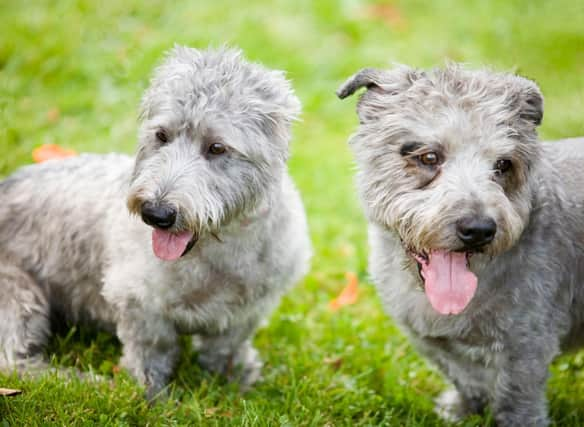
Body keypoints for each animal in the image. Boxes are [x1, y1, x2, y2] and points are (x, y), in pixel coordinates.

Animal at [0, 46, 312, 398]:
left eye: (217, 147)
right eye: (162, 135)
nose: (156, 213)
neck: (218, 251)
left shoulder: (251, 307)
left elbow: (227, 345)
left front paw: (236, 378)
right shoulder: (138, 302)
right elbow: (153, 349)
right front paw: (151, 394)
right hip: (19, 294)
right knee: (14, 361)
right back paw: (80, 380)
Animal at [338, 64, 584, 427]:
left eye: (503, 164)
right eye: (429, 156)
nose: (479, 229)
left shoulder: (526, 348)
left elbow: (516, 399)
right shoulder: (433, 341)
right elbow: (465, 378)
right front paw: (461, 411)